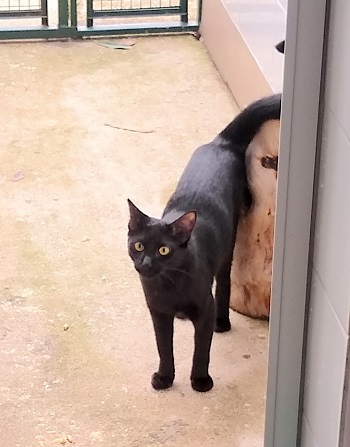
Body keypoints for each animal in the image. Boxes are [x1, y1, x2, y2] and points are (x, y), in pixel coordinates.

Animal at [128, 93, 282, 392]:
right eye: (138, 246)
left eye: (164, 249)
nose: (147, 263)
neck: (168, 285)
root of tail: (219, 142)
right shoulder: (158, 313)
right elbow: (164, 347)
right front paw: (165, 377)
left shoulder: (203, 310)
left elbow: (202, 348)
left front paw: (200, 380)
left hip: (228, 246)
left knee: (223, 282)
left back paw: (223, 322)